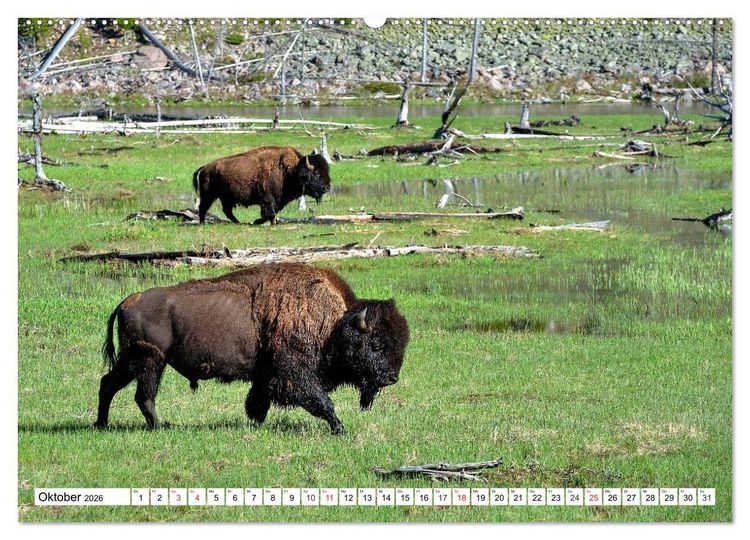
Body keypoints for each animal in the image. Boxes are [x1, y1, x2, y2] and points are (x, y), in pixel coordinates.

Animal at [95, 263, 409, 434]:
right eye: (376, 344)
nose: (391, 377)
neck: (334, 324)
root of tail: (127, 301)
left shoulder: (265, 375)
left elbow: (257, 403)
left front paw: (255, 424)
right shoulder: (295, 372)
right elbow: (321, 400)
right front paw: (340, 428)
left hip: (131, 361)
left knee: (108, 384)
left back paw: (102, 424)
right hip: (150, 361)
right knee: (143, 396)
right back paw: (158, 427)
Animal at [192, 145, 331, 225]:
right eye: (317, 173)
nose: (327, 188)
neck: (291, 170)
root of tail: (205, 168)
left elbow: (271, 213)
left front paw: (260, 222)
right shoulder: (267, 199)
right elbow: (269, 213)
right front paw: (261, 222)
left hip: (225, 198)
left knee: (226, 211)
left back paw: (238, 222)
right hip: (209, 196)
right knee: (203, 208)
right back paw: (202, 223)